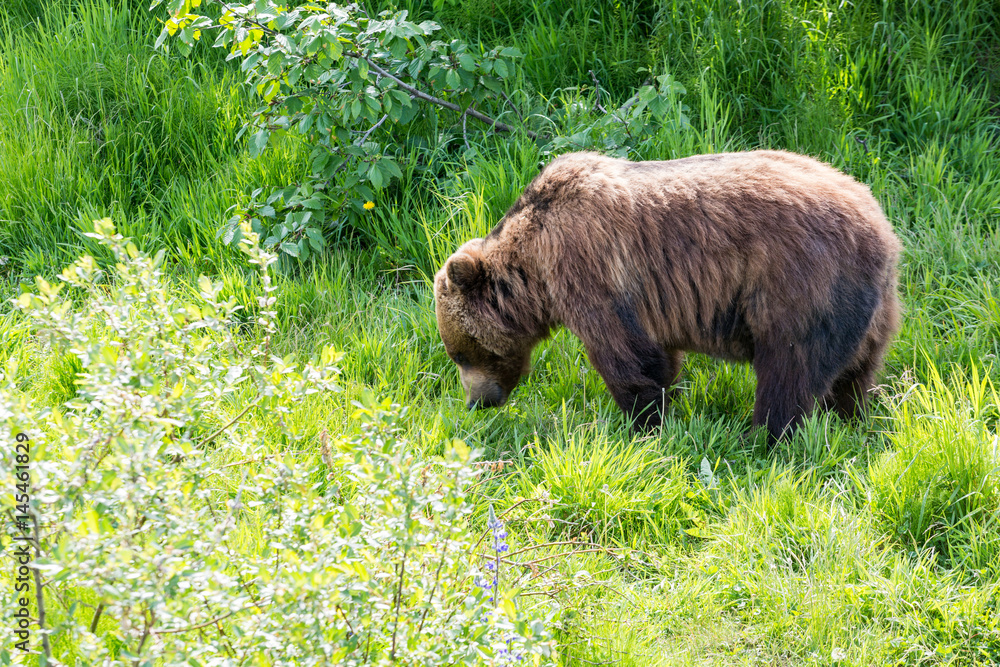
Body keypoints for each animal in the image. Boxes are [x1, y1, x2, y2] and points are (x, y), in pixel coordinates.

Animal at [434, 151, 904, 444]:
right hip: (872, 310)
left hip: (799, 285)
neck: (533, 270)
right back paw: (849, 416)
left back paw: (763, 436)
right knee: (854, 371)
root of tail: (882, 229)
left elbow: (625, 354)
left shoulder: (587, 266)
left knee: (790, 368)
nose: (476, 402)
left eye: (459, 353)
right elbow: (657, 352)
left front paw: (642, 422)